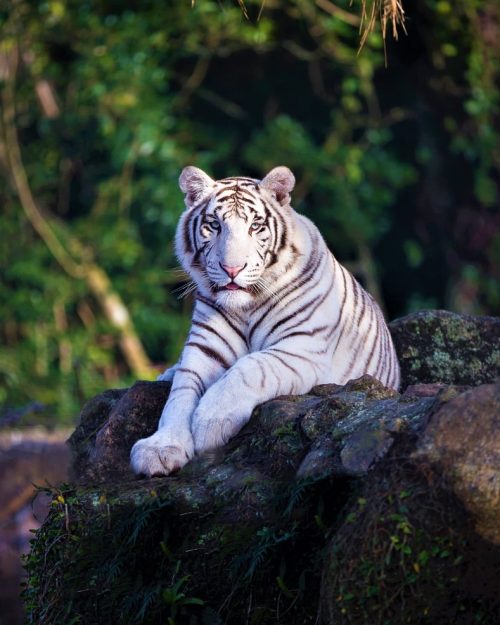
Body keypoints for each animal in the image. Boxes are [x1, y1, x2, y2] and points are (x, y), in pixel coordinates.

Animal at [131, 163, 400, 476]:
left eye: (255, 226)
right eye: (214, 225)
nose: (232, 269)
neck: (245, 307)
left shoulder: (302, 347)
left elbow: (249, 367)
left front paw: (209, 423)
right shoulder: (204, 350)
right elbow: (180, 395)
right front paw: (160, 447)